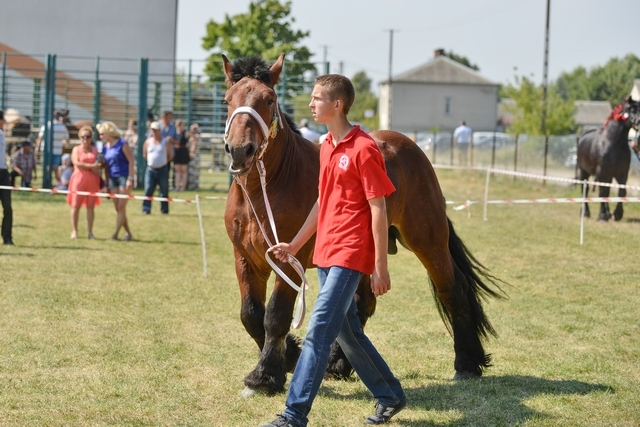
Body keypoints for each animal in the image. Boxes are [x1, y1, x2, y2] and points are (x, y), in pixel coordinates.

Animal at [220, 55, 504, 396]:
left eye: (269, 100)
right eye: (227, 100)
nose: (240, 150)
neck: (267, 186)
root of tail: (410, 148)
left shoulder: (289, 260)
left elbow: (275, 315)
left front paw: (265, 376)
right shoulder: (244, 258)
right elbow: (250, 314)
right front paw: (289, 356)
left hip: (428, 241)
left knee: (453, 290)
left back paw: (466, 363)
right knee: (362, 303)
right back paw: (339, 363)